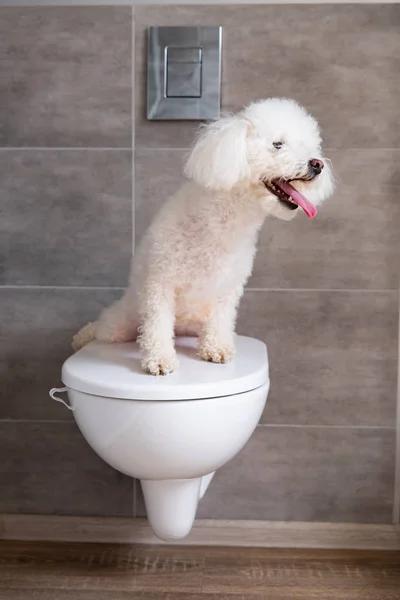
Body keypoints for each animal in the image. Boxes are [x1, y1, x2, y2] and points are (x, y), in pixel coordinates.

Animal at [72, 96, 334, 372]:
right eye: (278, 144)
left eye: (310, 146)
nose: (317, 164)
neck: (221, 223)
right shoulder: (160, 283)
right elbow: (157, 325)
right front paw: (160, 359)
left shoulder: (227, 290)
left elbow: (221, 321)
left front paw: (216, 348)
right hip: (122, 322)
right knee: (104, 328)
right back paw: (82, 337)